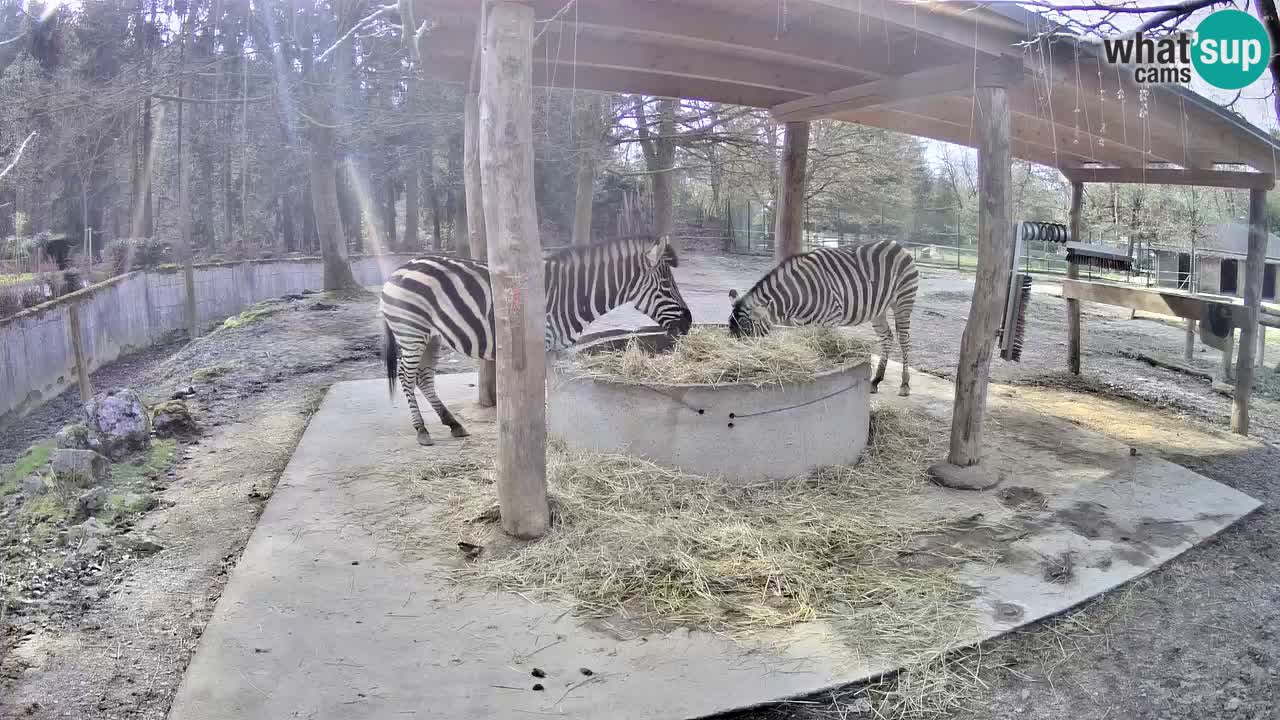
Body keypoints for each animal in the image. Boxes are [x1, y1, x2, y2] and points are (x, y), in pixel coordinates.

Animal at [378, 235, 696, 443]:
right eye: (666, 285)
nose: (689, 323)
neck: (571, 295)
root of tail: (400, 268)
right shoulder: (539, 344)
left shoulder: (558, 348)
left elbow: (556, 390)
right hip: (412, 331)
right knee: (407, 376)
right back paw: (422, 430)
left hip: (432, 337)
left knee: (424, 378)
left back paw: (453, 423)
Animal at [727, 238, 916, 394]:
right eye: (731, 331)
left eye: (746, 331)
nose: (738, 364)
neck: (798, 294)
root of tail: (896, 244)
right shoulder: (801, 324)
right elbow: (809, 346)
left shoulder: (830, 319)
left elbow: (824, 348)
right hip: (878, 309)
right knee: (887, 337)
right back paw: (876, 380)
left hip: (903, 301)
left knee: (904, 340)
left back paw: (905, 385)